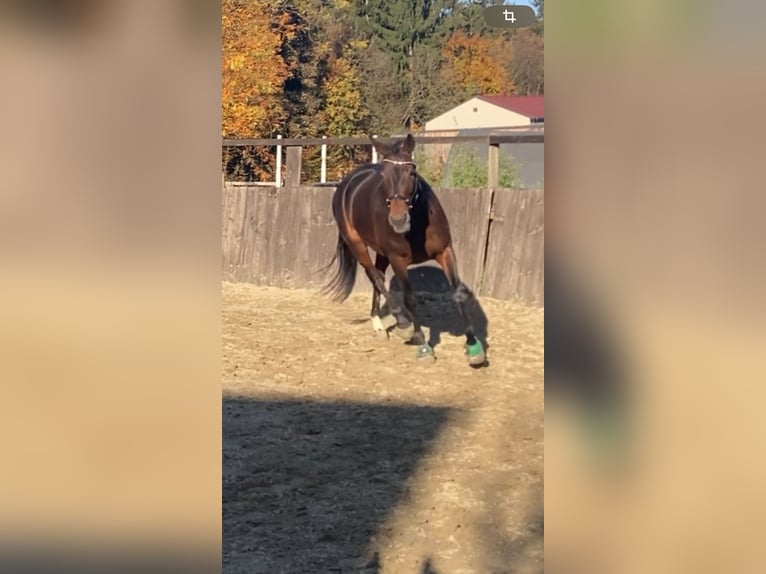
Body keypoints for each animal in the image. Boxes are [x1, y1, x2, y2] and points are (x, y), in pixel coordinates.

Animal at [320, 134, 488, 368]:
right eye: (384, 176)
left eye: (412, 173)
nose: (398, 220)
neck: (417, 225)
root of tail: (347, 182)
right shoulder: (398, 259)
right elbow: (410, 299)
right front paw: (423, 345)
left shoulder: (445, 252)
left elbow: (459, 293)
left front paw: (473, 348)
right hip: (357, 244)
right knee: (375, 277)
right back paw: (401, 324)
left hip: (382, 253)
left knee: (378, 277)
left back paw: (378, 324)